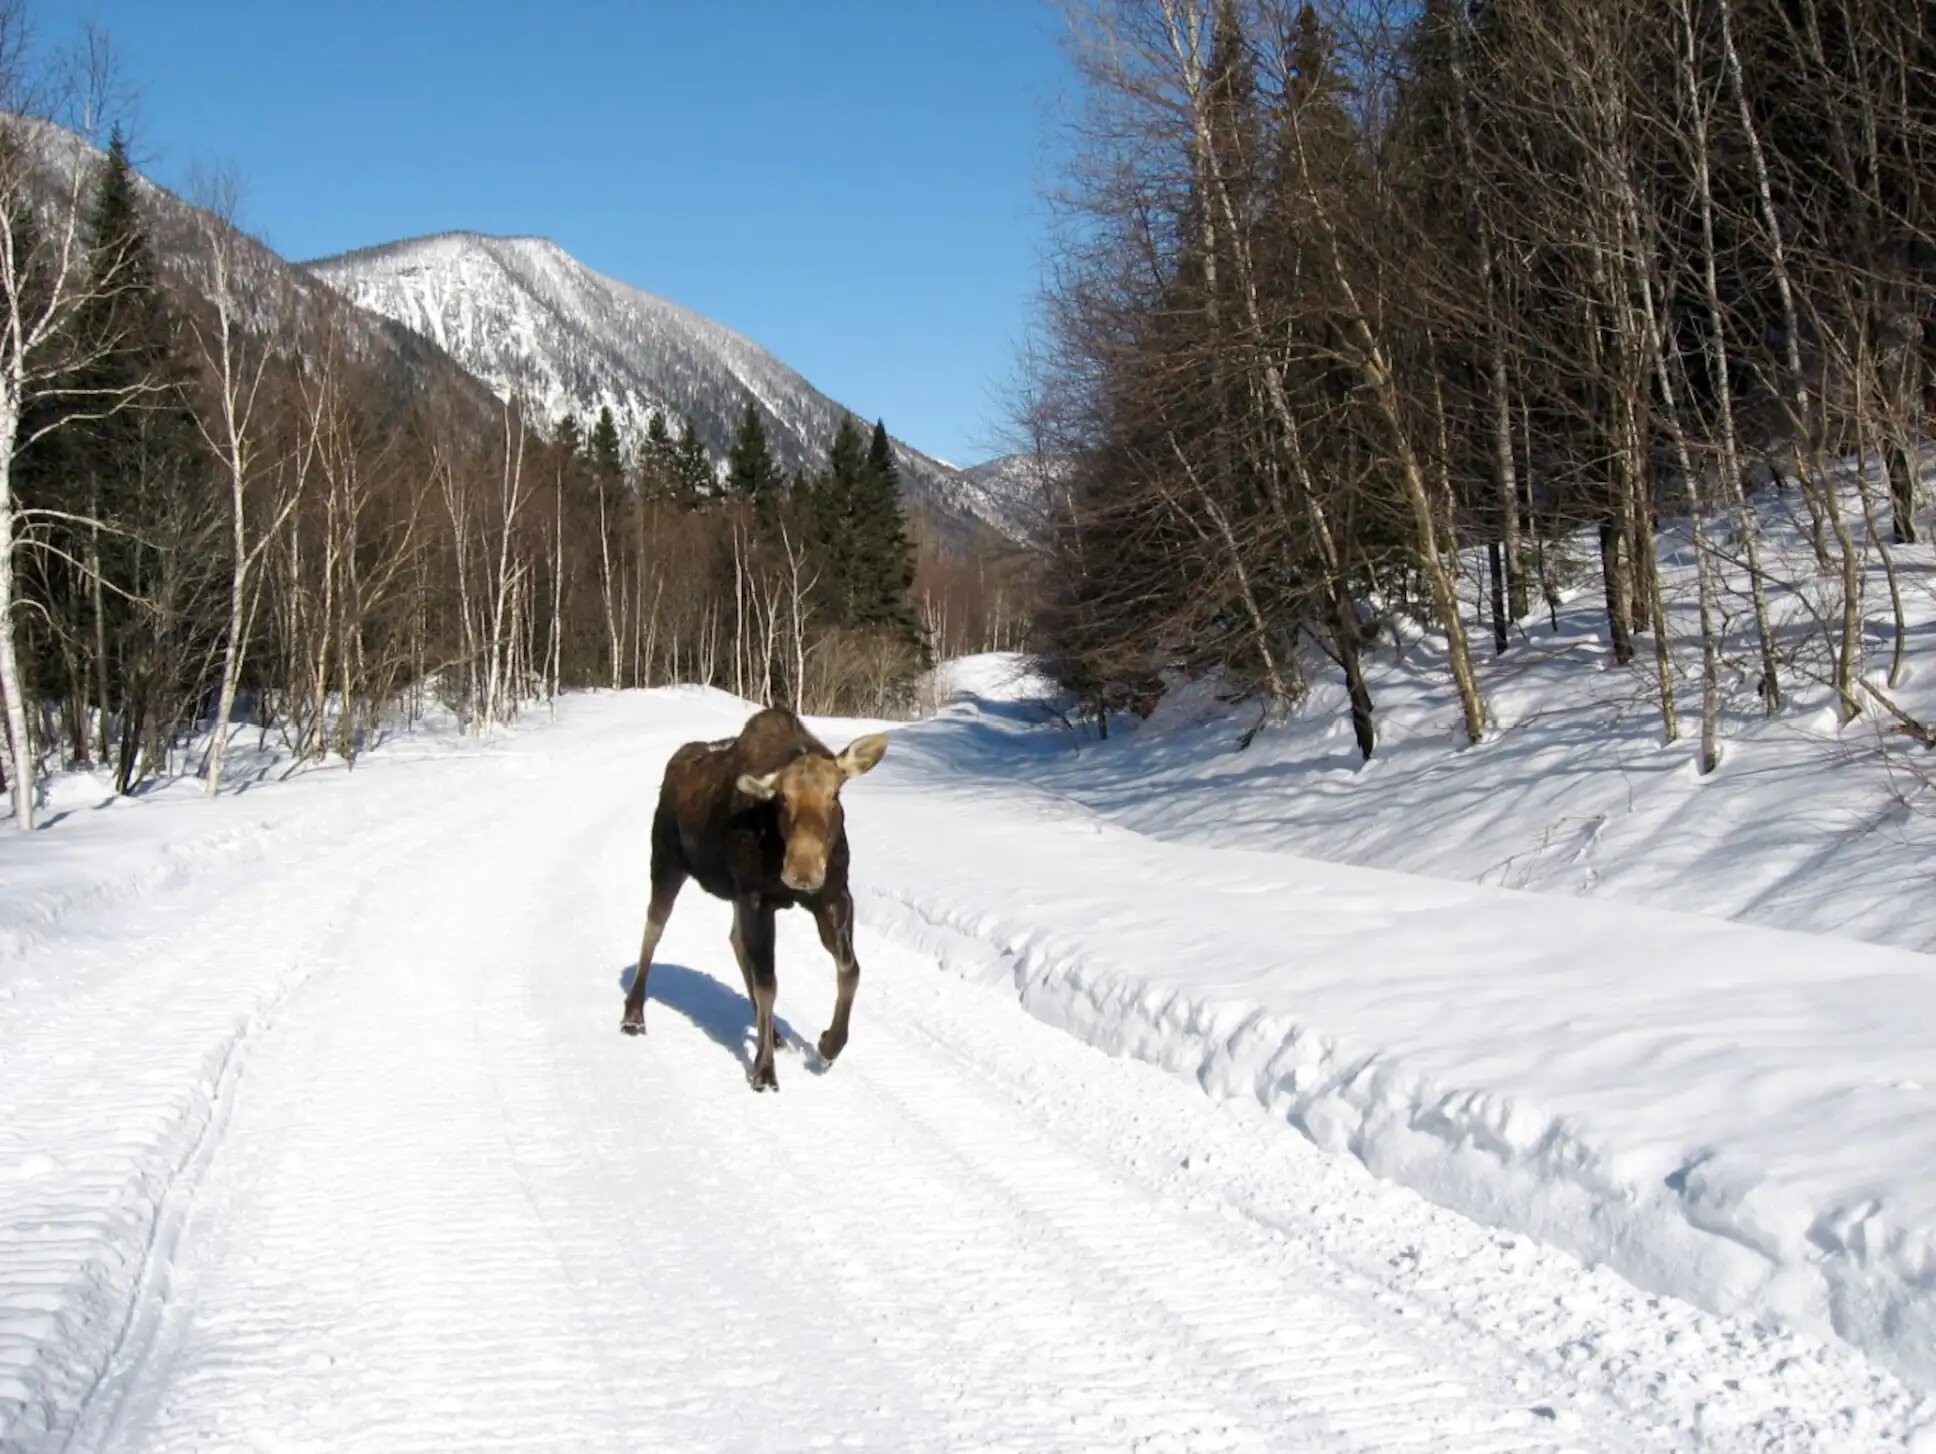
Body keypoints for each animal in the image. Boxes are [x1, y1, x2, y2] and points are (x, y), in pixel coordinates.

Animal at [619, 704, 890, 1091]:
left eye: (834, 794)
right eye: (783, 799)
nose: (803, 872)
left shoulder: (833, 895)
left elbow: (850, 969)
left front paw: (829, 1045)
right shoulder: (757, 898)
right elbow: (768, 984)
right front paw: (763, 1070)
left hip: (730, 893)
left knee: (735, 939)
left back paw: (774, 1034)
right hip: (667, 861)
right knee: (653, 929)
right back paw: (633, 1014)